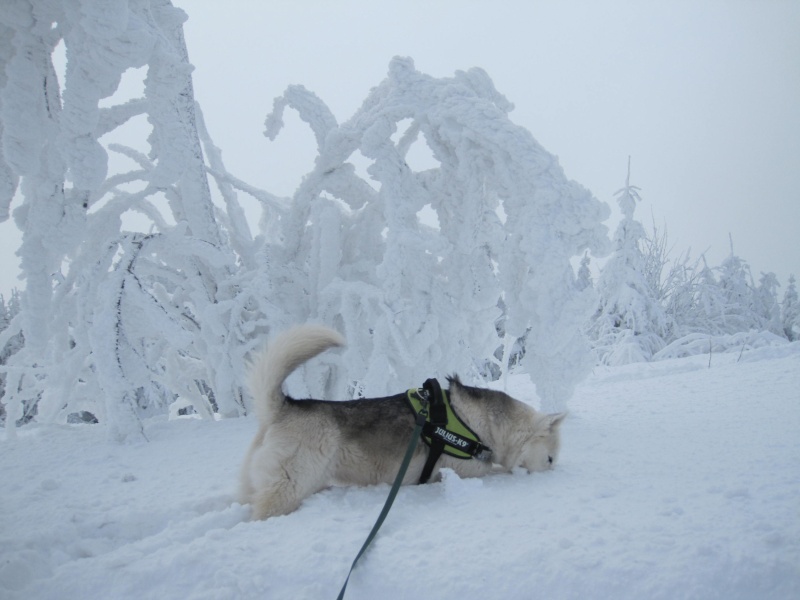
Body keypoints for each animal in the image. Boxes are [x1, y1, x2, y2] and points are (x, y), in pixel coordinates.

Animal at [241, 326, 564, 516]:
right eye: (549, 459)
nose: (552, 477)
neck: (479, 423)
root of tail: (284, 406)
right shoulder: (469, 472)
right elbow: (496, 471)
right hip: (289, 489)